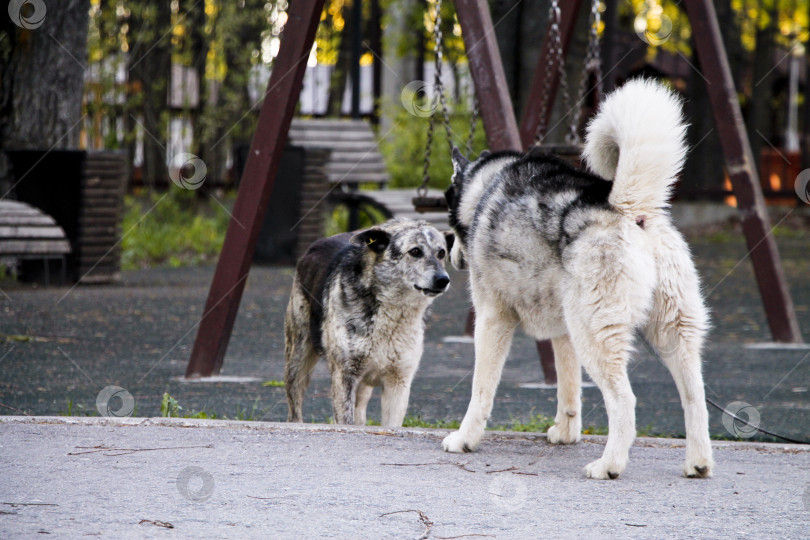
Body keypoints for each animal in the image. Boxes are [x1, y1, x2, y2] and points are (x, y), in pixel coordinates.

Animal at [284, 218, 452, 426]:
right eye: (415, 252)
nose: (443, 280)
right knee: (294, 409)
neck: (393, 313)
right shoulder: (344, 376)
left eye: (442, 253)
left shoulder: (398, 382)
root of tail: (315, 245)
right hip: (298, 361)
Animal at [442, 78, 712, 478]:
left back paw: (609, 465)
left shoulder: (492, 319)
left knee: (624, 401)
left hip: (597, 336)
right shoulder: (563, 332)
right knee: (695, 397)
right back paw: (698, 462)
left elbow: (481, 390)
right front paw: (566, 432)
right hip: (670, 334)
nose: (453, 256)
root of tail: (626, 208)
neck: (486, 186)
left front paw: (464, 439)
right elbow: (568, 388)